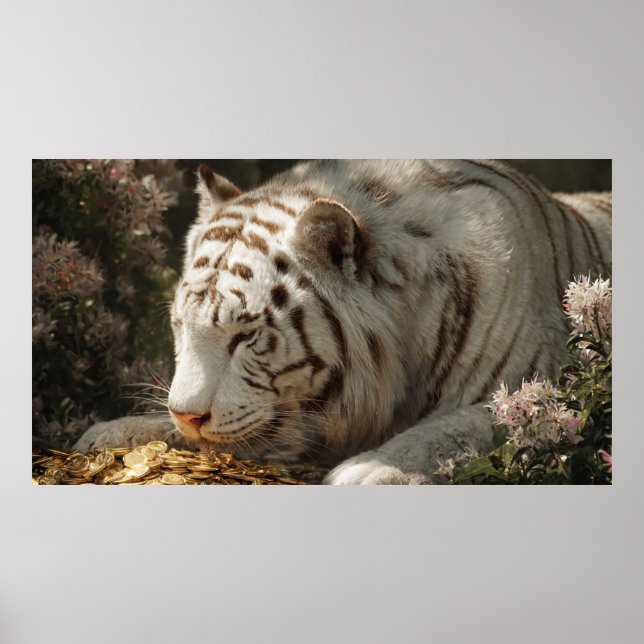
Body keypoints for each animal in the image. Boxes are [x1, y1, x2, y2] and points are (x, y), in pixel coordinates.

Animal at [74, 160, 612, 484]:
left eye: (245, 336)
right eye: (182, 325)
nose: (186, 415)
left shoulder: (540, 386)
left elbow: (461, 428)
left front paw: (371, 470)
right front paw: (108, 433)